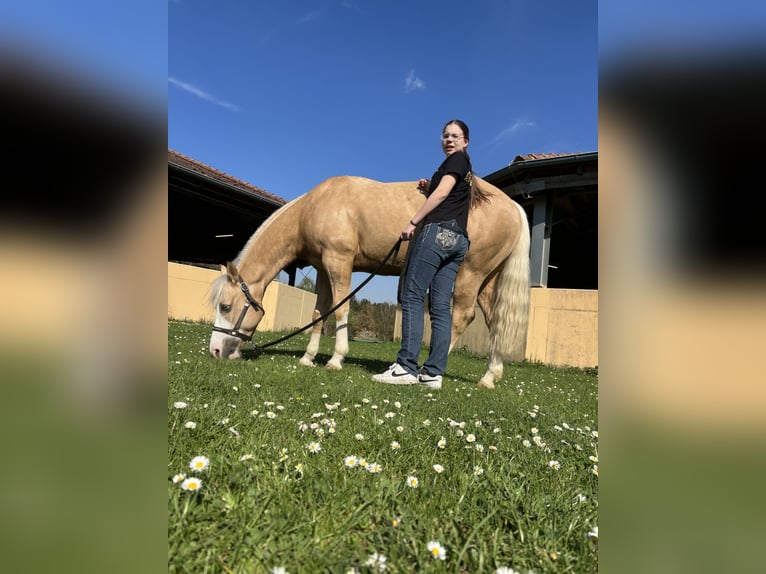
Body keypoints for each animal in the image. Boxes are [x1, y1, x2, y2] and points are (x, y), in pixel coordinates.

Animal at [208, 175, 530, 388]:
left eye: (225, 307)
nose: (215, 352)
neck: (316, 206)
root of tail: (514, 207)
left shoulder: (339, 261)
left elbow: (340, 309)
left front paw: (335, 360)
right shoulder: (323, 268)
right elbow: (318, 313)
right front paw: (308, 358)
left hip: (470, 274)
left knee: (462, 317)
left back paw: (427, 372)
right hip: (487, 280)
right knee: (495, 321)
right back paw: (489, 377)